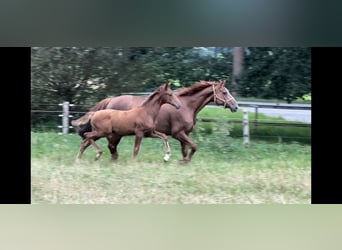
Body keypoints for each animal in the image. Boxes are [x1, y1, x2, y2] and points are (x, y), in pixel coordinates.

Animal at [72, 79, 238, 162]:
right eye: (224, 92)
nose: (235, 106)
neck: (186, 106)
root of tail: (110, 100)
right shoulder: (178, 133)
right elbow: (194, 146)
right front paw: (182, 160)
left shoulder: (183, 134)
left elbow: (185, 149)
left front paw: (182, 161)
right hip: (111, 133)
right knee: (105, 144)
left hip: (108, 132)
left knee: (90, 142)